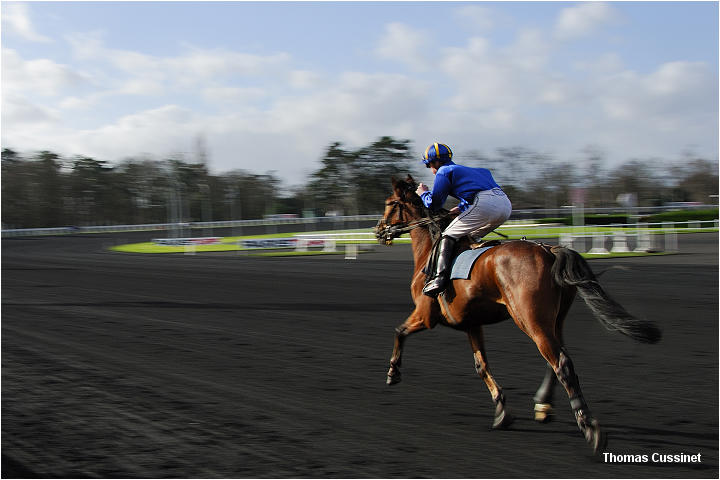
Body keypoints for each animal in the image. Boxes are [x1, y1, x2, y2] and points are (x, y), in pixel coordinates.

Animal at [374, 175, 660, 454]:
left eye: (388, 203)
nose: (378, 230)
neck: (430, 251)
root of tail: (549, 250)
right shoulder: (471, 324)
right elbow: (481, 366)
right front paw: (502, 411)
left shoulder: (425, 316)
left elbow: (399, 332)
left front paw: (393, 372)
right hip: (553, 320)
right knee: (558, 357)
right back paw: (544, 406)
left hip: (530, 319)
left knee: (561, 363)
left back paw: (589, 427)